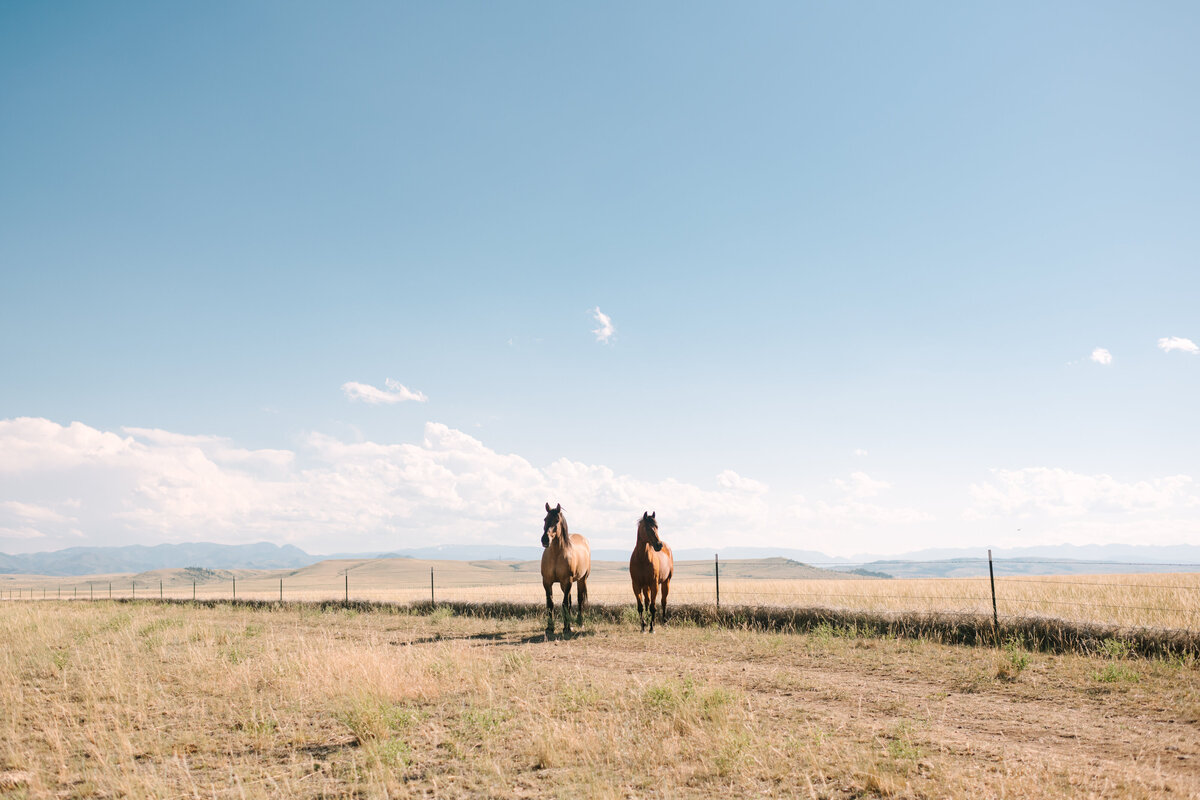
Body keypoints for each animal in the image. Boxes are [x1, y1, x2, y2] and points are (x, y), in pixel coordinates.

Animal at [540, 501, 590, 638]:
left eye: (557, 520)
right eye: (545, 519)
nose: (545, 540)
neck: (556, 555)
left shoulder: (567, 581)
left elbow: (564, 604)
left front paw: (566, 628)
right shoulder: (547, 582)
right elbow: (550, 603)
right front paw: (550, 627)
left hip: (581, 580)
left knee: (579, 599)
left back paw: (579, 622)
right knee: (570, 600)